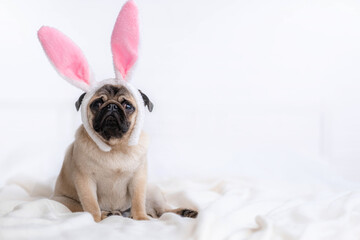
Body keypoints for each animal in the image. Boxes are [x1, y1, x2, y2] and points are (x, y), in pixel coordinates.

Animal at [37, 0, 197, 221]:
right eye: (96, 104)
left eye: (127, 106)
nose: (112, 106)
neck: (116, 147)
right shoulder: (85, 180)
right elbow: (91, 204)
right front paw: (95, 220)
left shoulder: (139, 179)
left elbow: (138, 200)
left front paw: (140, 219)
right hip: (64, 201)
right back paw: (109, 214)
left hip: (153, 190)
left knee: (162, 210)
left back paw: (179, 212)